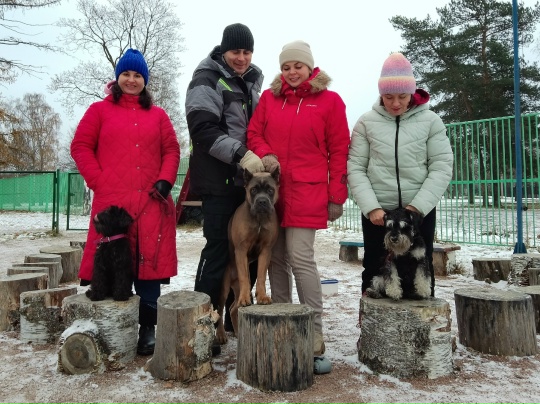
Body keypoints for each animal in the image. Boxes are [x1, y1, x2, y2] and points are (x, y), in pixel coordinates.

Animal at [215, 167, 280, 344]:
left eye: (270, 190)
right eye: (254, 190)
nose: (262, 201)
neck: (258, 219)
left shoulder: (266, 250)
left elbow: (262, 276)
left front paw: (263, 297)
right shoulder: (241, 249)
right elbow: (244, 275)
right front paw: (246, 298)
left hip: (236, 288)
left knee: (232, 308)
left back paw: (238, 333)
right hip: (224, 287)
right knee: (220, 308)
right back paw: (221, 335)